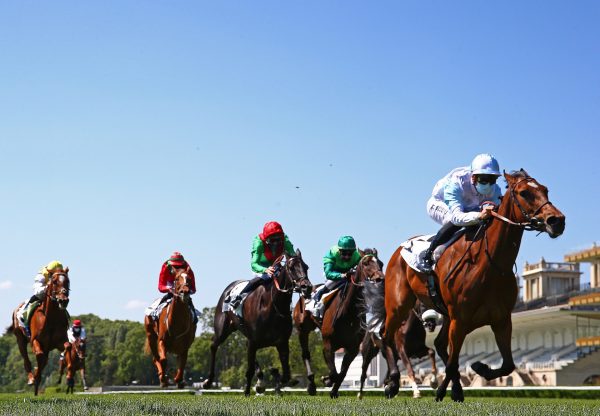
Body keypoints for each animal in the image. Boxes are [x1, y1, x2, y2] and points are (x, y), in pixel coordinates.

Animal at [203, 250, 312, 396]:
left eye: (306, 267)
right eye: (291, 268)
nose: (307, 287)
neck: (273, 306)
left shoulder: (281, 342)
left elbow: (285, 375)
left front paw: (273, 378)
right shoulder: (254, 341)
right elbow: (249, 371)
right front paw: (247, 391)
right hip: (222, 329)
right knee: (213, 345)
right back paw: (208, 381)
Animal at [294, 252, 384, 398]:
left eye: (381, 263)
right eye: (366, 264)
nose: (380, 278)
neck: (348, 313)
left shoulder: (353, 348)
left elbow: (342, 373)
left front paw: (333, 390)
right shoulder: (328, 345)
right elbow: (334, 372)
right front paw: (326, 380)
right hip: (302, 330)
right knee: (305, 353)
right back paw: (311, 385)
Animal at [378, 171, 564, 402]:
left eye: (545, 190)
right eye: (524, 193)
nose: (557, 220)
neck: (490, 264)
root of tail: (401, 248)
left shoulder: (500, 320)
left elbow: (508, 365)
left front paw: (478, 368)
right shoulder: (461, 319)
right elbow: (452, 364)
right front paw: (442, 390)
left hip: (446, 315)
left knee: (439, 344)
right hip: (398, 305)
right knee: (387, 336)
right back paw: (393, 382)